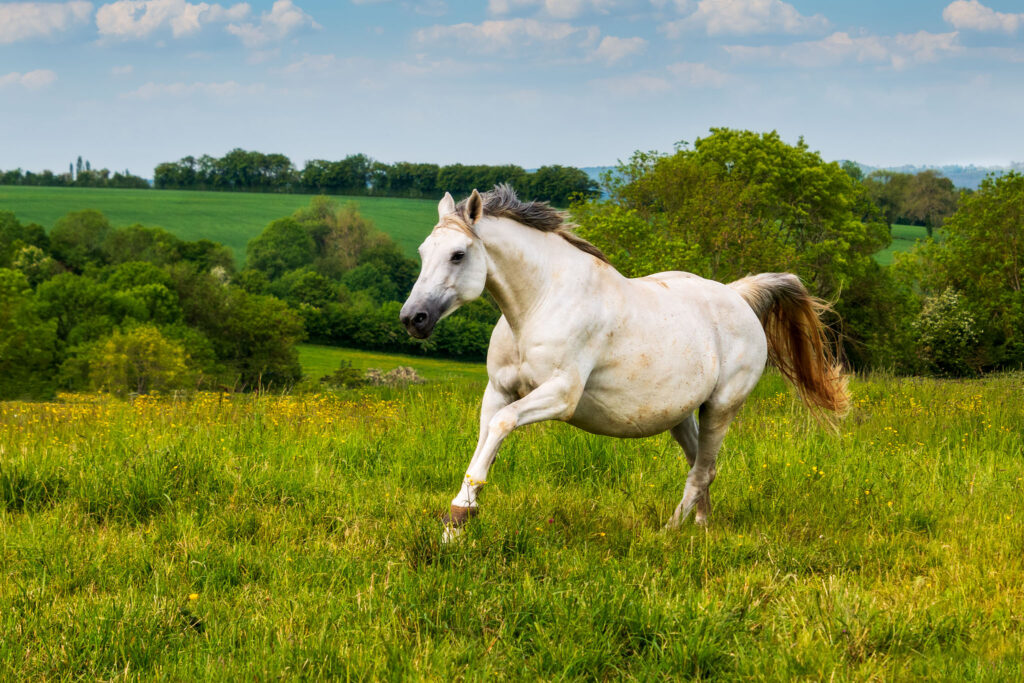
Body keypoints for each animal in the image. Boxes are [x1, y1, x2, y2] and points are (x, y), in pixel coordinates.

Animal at [399, 185, 849, 537]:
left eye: (458, 254)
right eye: (422, 252)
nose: (413, 318)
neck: (541, 303)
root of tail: (738, 295)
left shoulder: (561, 395)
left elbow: (502, 424)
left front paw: (461, 515)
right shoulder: (498, 390)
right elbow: (486, 437)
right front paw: (456, 522)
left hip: (722, 407)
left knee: (701, 471)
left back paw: (669, 532)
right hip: (683, 414)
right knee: (703, 466)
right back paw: (701, 528)